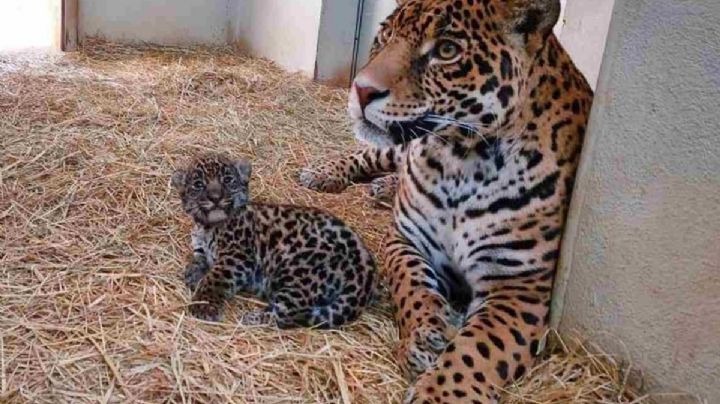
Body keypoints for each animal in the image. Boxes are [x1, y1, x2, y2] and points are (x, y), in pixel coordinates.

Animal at [171, 154, 377, 328]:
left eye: (228, 180)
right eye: (198, 184)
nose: (215, 198)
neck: (207, 227)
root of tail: (365, 272)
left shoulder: (236, 257)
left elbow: (215, 278)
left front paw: (203, 305)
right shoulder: (200, 247)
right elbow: (199, 259)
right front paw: (193, 274)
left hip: (299, 271)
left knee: (293, 313)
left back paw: (253, 318)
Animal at [300, 0, 593, 402]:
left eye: (447, 50)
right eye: (386, 36)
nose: (361, 89)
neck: (462, 163)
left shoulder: (519, 285)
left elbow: (478, 347)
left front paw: (439, 393)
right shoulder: (405, 239)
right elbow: (412, 285)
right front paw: (428, 335)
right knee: (375, 153)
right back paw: (325, 172)